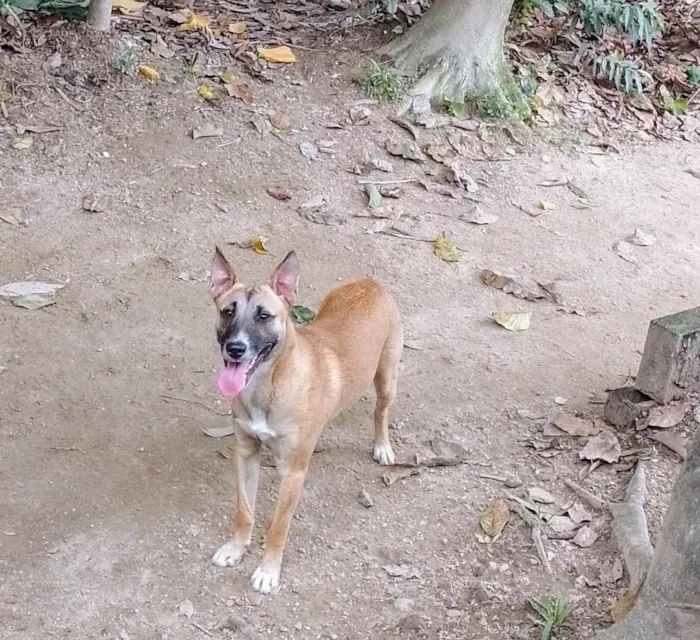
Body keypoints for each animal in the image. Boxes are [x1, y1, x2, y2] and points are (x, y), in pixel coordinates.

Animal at [208, 249, 402, 596]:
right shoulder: (245, 453)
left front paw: (268, 571)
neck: (269, 386)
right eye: (228, 311)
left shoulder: (293, 472)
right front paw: (235, 548)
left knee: (380, 412)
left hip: (387, 377)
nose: (236, 349)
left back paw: (382, 446)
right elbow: (244, 511)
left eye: (264, 316)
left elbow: (278, 526)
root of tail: (370, 282)